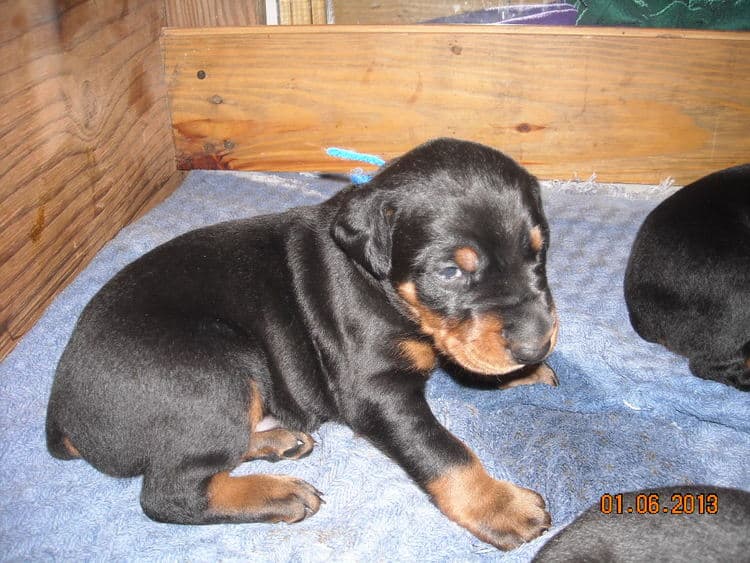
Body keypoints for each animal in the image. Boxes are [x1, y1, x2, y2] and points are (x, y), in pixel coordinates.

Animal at [45, 138, 560, 552]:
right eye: (450, 271)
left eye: (538, 253)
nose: (536, 344)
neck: (377, 281)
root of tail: (63, 417)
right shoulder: (375, 392)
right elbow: (443, 450)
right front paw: (501, 506)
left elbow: (467, 359)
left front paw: (525, 371)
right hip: (217, 367)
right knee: (171, 491)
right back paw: (279, 492)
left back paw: (277, 440)